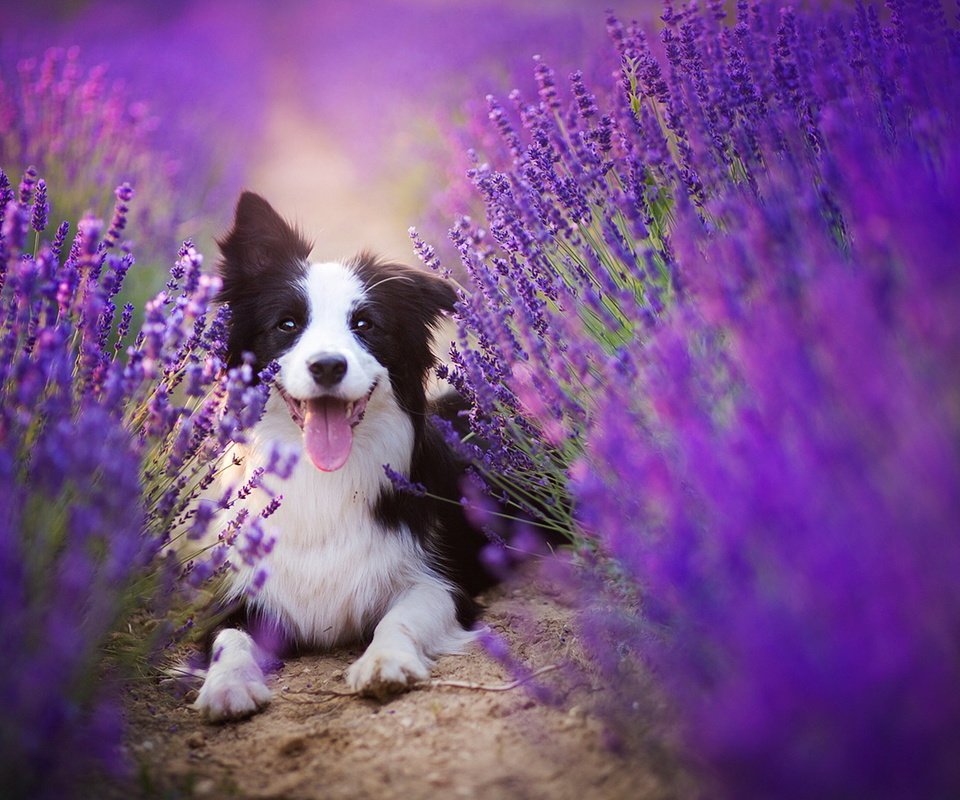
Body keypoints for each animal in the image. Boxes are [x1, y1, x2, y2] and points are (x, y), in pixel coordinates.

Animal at [192, 191, 498, 720]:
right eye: (287, 324)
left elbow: (401, 616)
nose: (328, 366)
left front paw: (384, 662)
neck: (325, 479)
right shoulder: (242, 596)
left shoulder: (441, 581)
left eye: (364, 325)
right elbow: (228, 639)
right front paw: (227, 686)